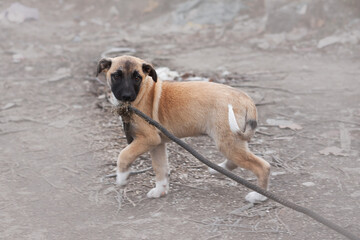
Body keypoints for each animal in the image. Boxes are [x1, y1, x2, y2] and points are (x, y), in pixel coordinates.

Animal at [95, 54, 270, 202]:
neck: (142, 94)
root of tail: (245, 98)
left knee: (263, 166)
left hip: (227, 141)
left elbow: (124, 154)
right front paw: (160, 190)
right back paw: (220, 169)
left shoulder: (148, 139)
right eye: (116, 75)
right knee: (239, 161)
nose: (127, 96)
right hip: (231, 141)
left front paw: (122, 177)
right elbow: (160, 169)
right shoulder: (157, 144)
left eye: (137, 78)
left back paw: (259, 196)